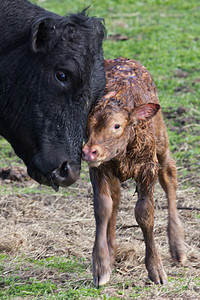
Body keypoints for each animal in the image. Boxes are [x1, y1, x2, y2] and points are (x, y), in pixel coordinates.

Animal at [81, 57, 186, 288]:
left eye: (116, 126)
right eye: (86, 125)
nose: (89, 151)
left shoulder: (148, 168)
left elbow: (145, 213)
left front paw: (156, 270)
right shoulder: (100, 168)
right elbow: (103, 207)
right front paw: (101, 267)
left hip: (161, 140)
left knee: (169, 174)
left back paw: (178, 247)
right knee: (116, 197)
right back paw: (111, 251)